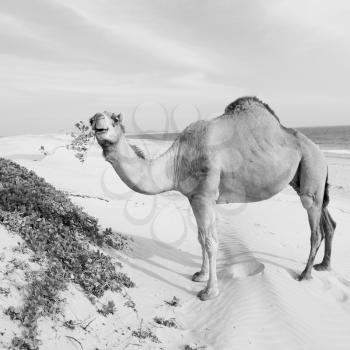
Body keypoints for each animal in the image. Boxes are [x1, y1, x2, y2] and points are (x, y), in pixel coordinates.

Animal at [90, 96, 336, 300]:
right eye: (94, 119)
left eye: (114, 119)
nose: (95, 118)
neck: (176, 163)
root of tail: (320, 153)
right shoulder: (194, 197)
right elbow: (201, 237)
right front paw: (200, 274)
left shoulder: (205, 196)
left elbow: (210, 241)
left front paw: (209, 291)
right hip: (306, 178)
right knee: (328, 220)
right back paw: (323, 266)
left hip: (312, 167)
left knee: (315, 228)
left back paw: (305, 274)